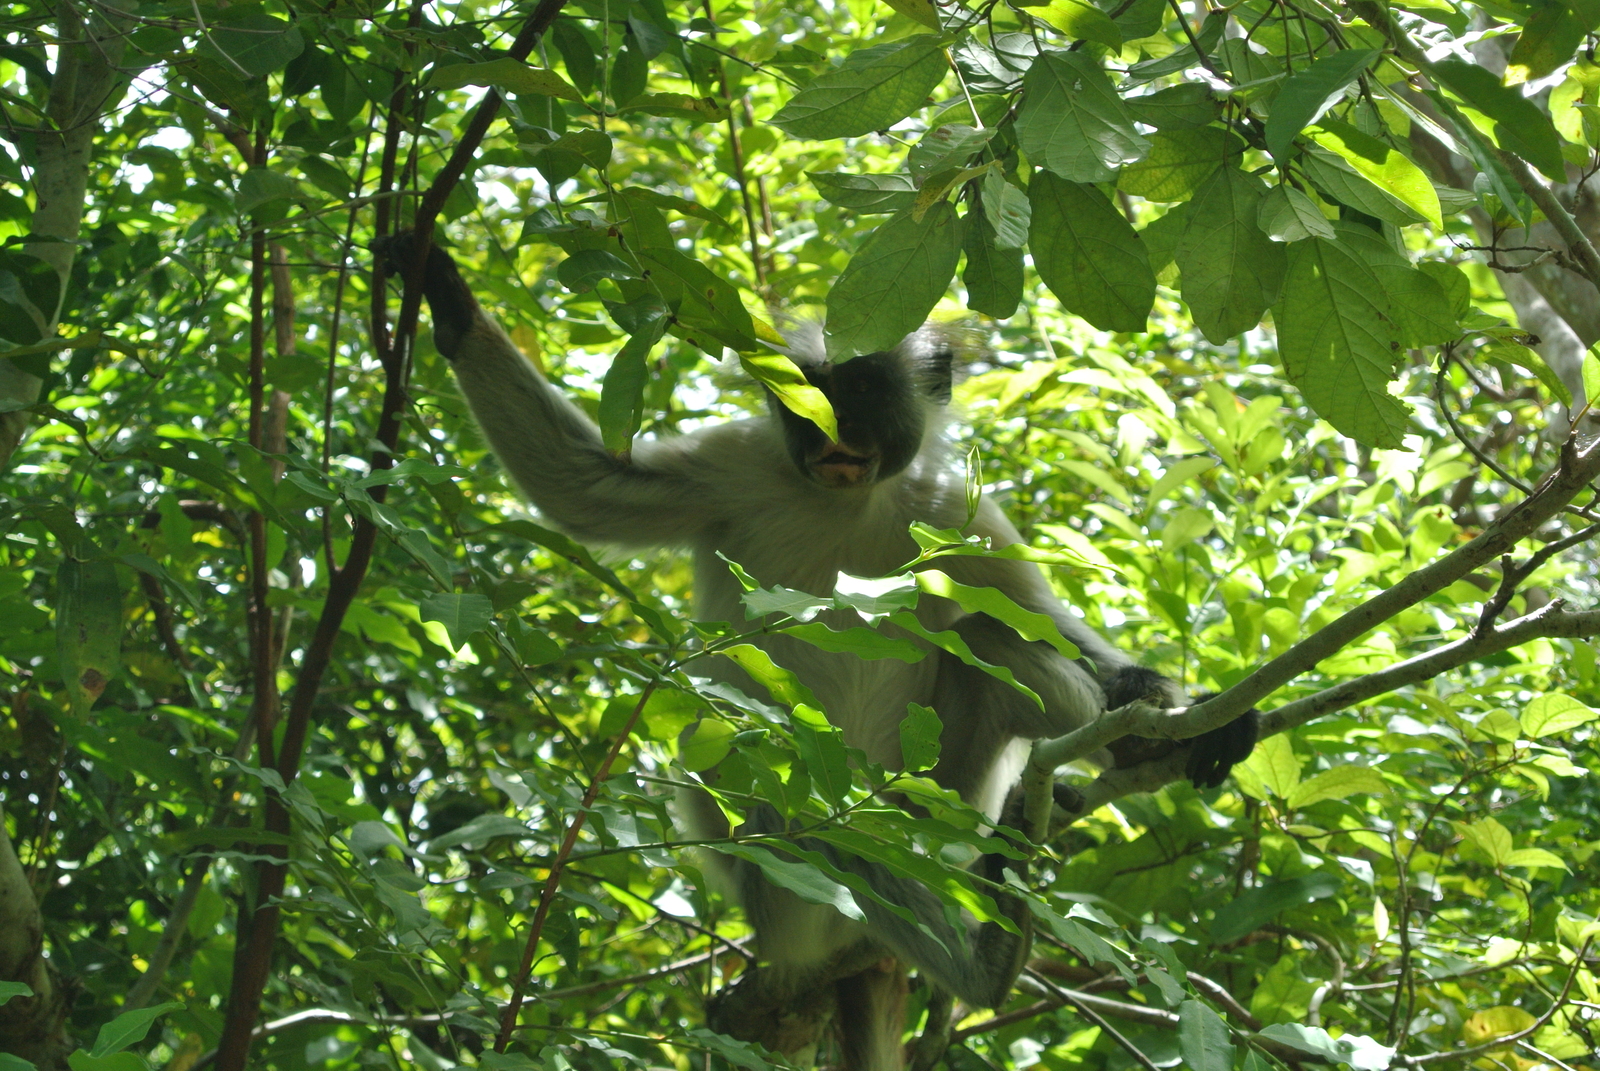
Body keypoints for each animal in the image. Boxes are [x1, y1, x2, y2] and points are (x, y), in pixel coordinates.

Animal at [377, 233, 1260, 1069]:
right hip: (780, 880)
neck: (846, 499)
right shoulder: (740, 464)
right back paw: (987, 963)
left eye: (862, 389)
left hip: (936, 800)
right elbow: (582, 487)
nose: (833, 433)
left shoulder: (953, 509)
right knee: (814, 828)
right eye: (814, 393)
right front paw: (449, 303)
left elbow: (1034, 616)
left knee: (997, 649)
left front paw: (1180, 714)